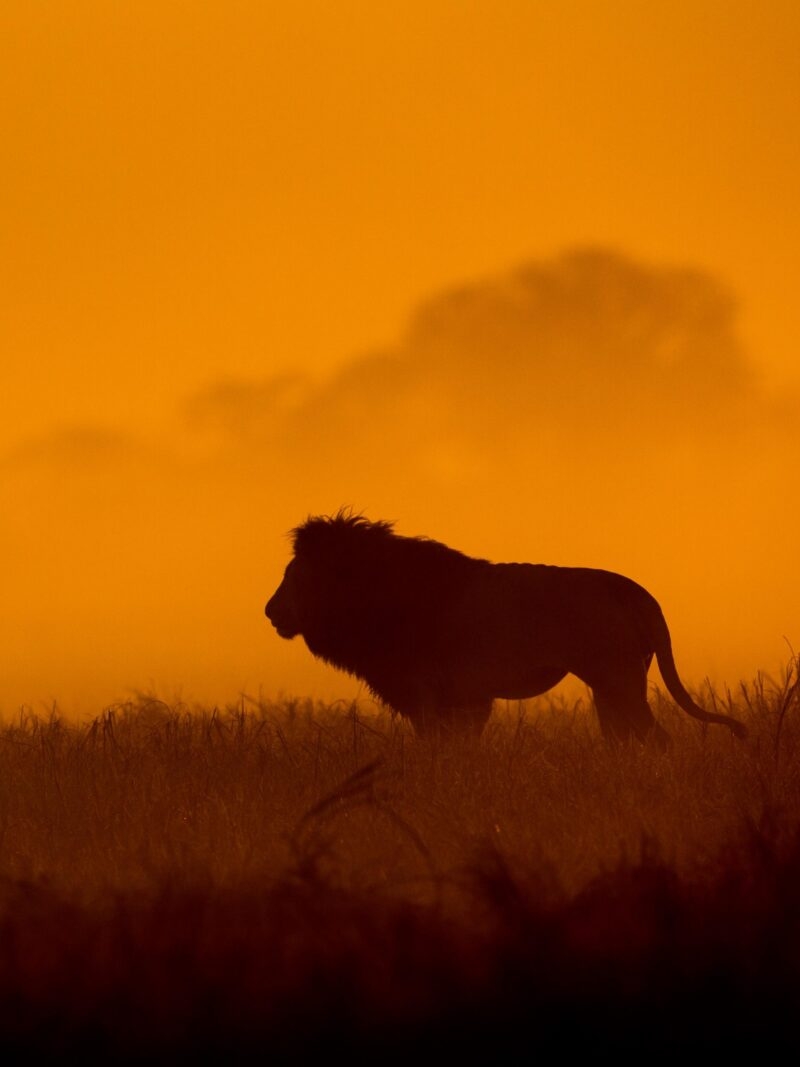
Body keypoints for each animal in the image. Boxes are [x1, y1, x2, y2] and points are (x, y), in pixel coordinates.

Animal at [265, 512, 747, 747]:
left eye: (296, 575)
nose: (270, 611)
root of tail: (632, 589)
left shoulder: (426, 694)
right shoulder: (464, 699)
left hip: (617, 678)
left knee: (657, 740)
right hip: (611, 686)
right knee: (624, 741)